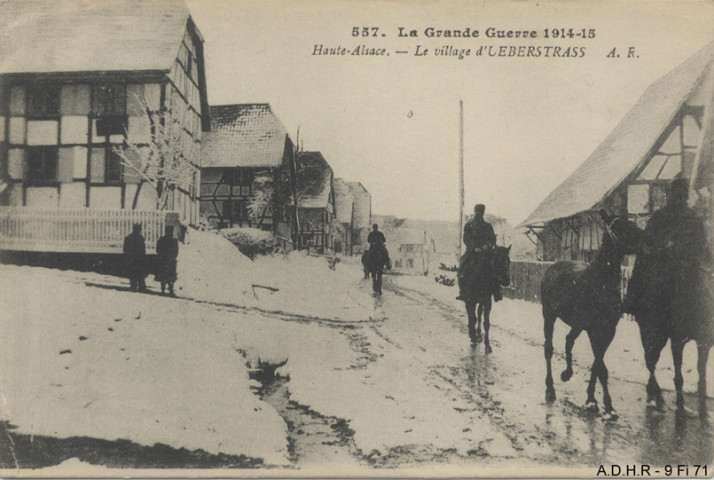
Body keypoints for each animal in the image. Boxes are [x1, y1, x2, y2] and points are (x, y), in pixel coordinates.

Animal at [540, 211, 640, 420]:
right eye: (620, 228)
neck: (601, 283)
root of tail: (553, 267)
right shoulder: (593, 330)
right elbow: (601, 366)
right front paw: (606, 405)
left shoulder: (608, 331)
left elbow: (597, 364)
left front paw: (593, 399)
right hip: (549, 315)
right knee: (549, 348)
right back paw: (550, 388)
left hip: (577, 325)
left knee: (569, 340)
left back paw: (567, 373)